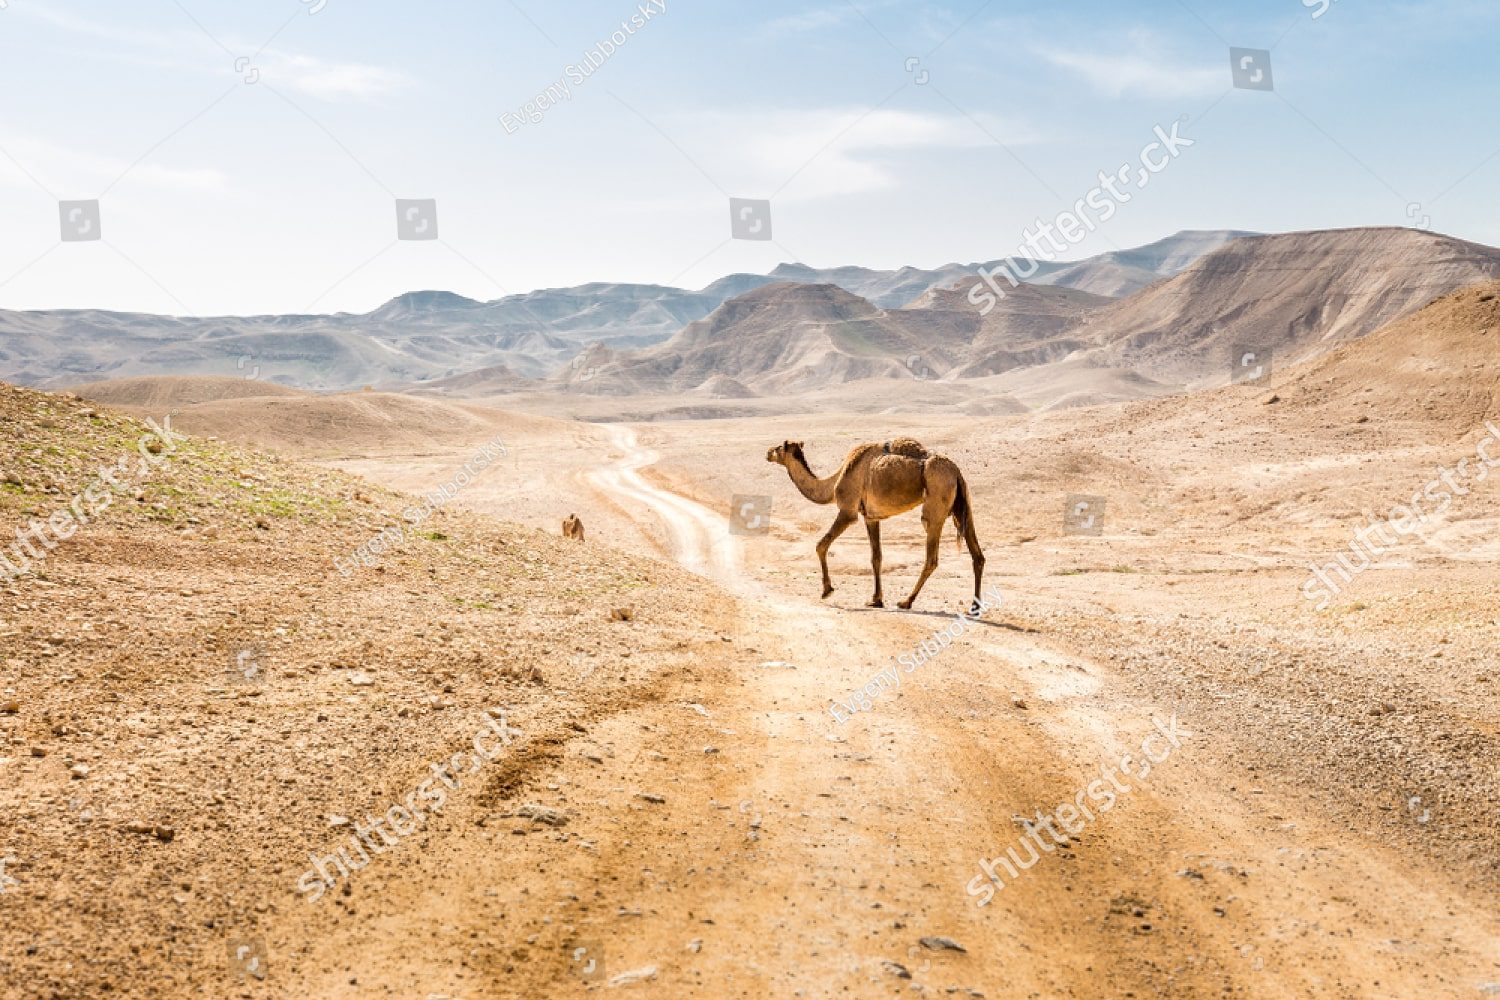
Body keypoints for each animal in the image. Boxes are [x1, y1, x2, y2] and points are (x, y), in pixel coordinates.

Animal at [766, 437, 984, 612]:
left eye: (779, 447)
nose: (768, 452)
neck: (834, 482)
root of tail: (956, 472)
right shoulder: (871, 517)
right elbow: (876, 557)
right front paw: (876, 600)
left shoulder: (848, 511)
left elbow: (821, 545)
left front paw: (827, 590)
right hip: (963, 506)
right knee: (978, 556)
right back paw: (974, 606)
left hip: (936, 502)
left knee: (932, 556)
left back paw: (906, 601)